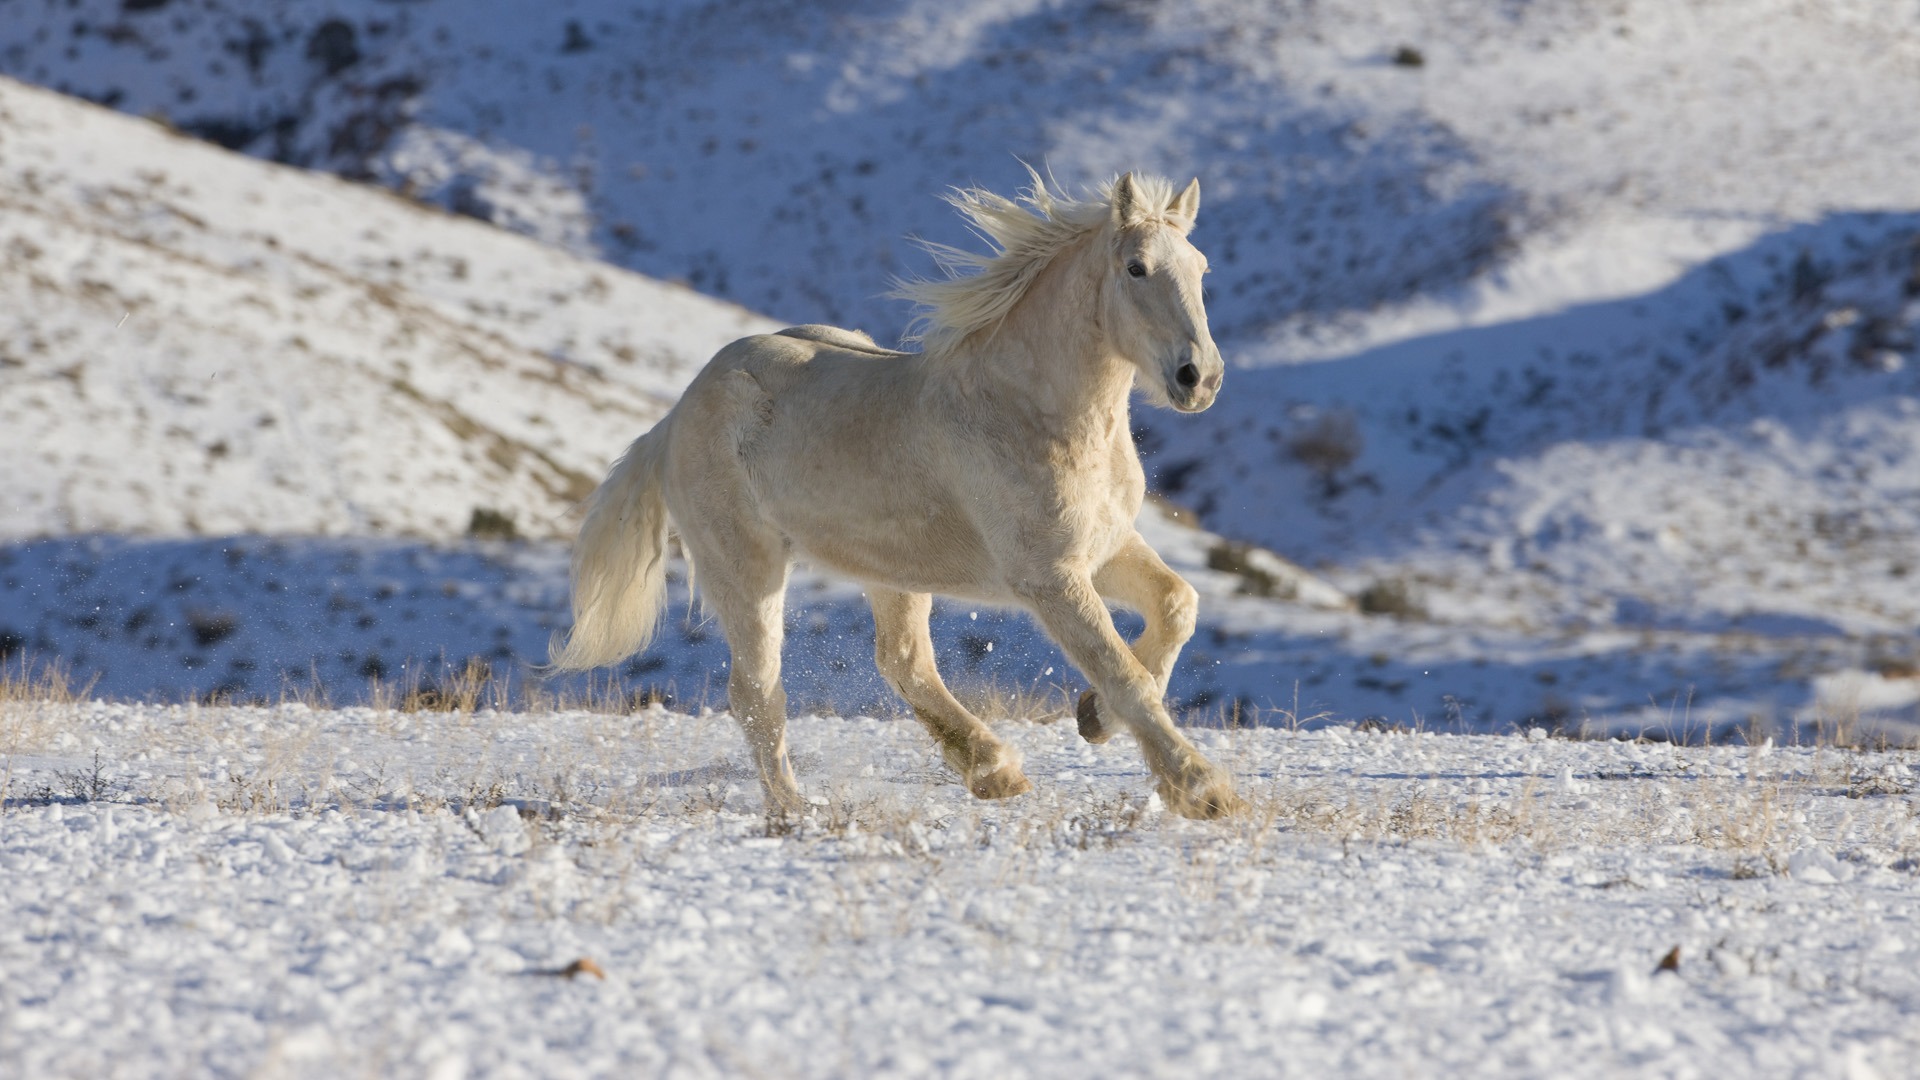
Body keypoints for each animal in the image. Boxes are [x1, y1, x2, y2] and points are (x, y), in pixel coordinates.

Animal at [552, 170, 1244, 814]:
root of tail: (673, 417)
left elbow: (1176, 606)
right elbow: (1123, 671)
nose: (1200, 378)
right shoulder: (1049, 576)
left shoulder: (1105, 547)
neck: (1030, 411)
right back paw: (794, 812)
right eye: (1136, 267)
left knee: (903, 660)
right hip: (744, 566)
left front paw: (1094, 718)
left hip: (892, 569)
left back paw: (995, 772)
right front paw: (1202, 789)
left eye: (1201, 268)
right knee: (757, 692)